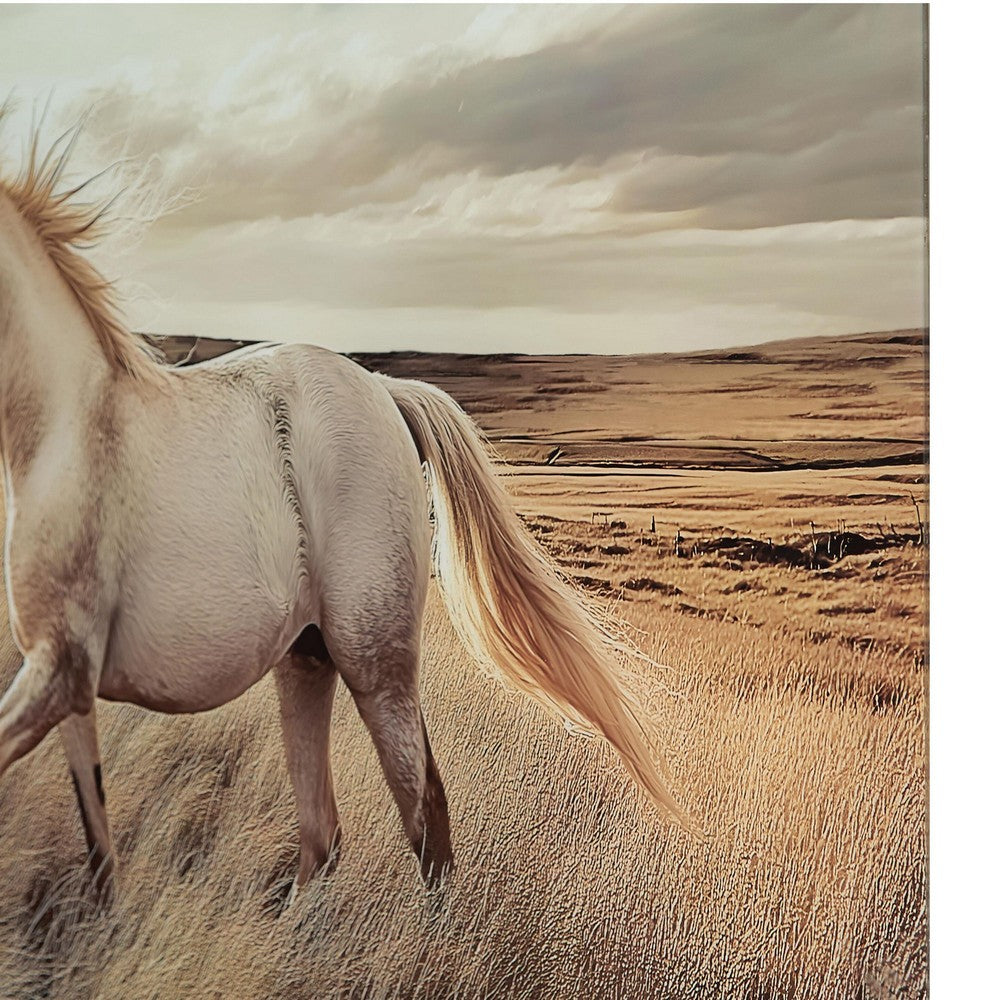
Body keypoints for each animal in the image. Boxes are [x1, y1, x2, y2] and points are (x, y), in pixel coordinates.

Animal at [0, 122, 696, 898]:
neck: (64, 427)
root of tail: (385, 390)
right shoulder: (69, 684)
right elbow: (100, 854)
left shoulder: (59, 671)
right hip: (306, 659)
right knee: (324, 836)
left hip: (374, 660)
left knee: (425, 817)